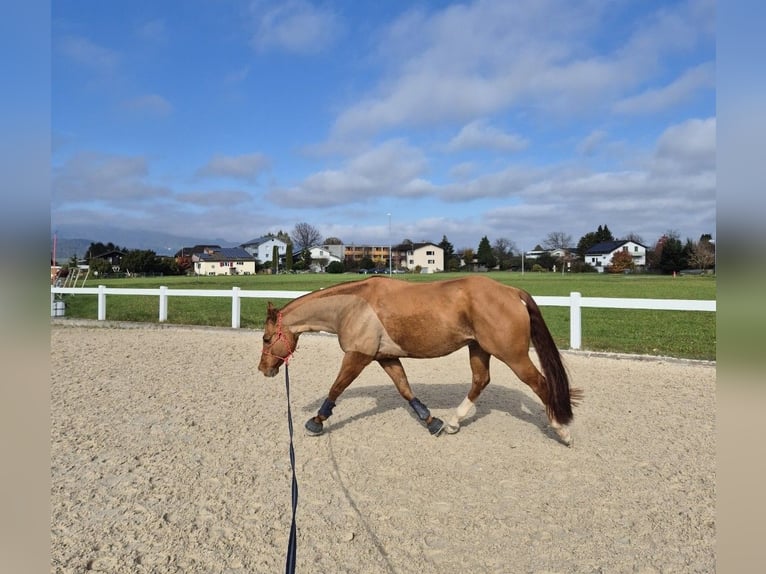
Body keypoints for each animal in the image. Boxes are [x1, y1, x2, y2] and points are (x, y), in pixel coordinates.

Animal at [258, 275, 582, 445]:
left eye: (266, 338)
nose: (264, 369)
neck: (352, 306)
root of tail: (512, 291)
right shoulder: (386, 357)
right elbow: (405, 390)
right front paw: (431, 421)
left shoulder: (358, 356)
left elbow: (336, 388)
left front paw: (316, 421)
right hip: (478, 348)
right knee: (480, 381)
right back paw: (452, 422)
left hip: (512, 355)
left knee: (540, 384)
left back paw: (561, 430)